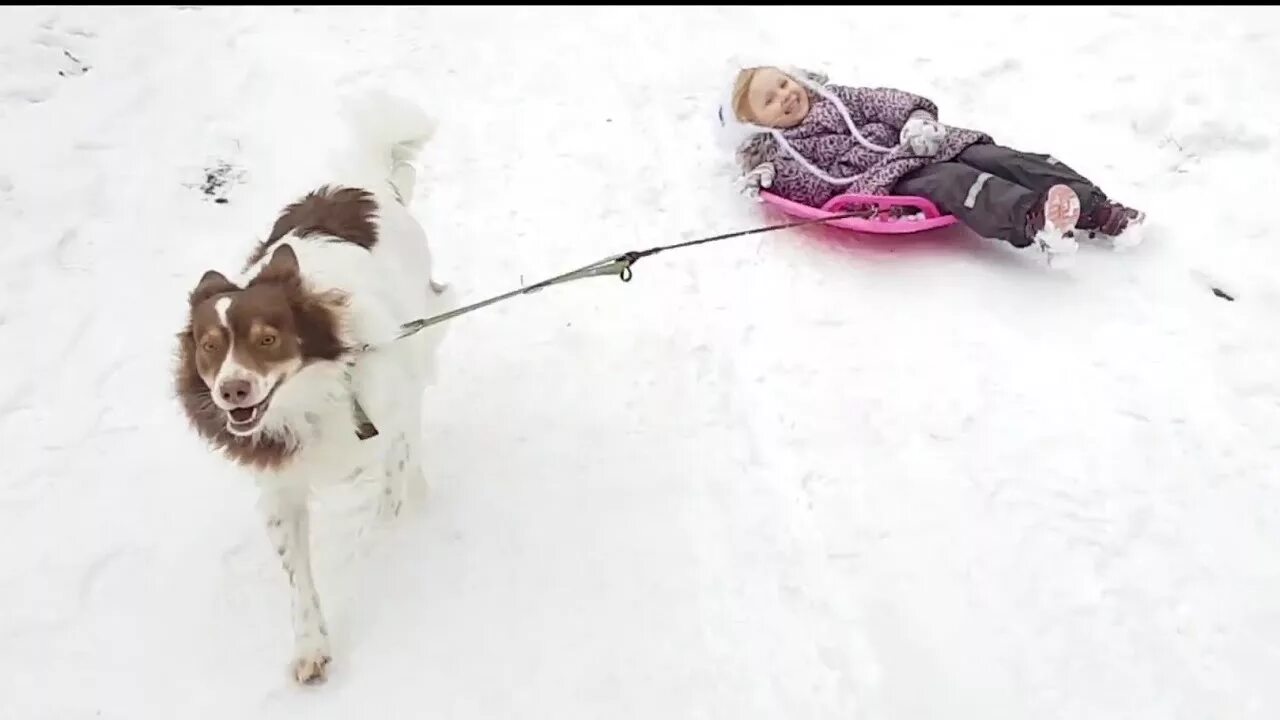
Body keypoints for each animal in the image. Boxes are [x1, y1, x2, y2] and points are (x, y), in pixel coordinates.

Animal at [170, 89, 450, 681]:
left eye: (267, 338)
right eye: (209, 347)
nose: (232, 391)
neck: (307, 398)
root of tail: (356, 181)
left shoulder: (392, 408)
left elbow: (389, 496)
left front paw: (383, 537)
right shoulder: (280, 483)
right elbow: (297, 575)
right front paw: (309, 645)